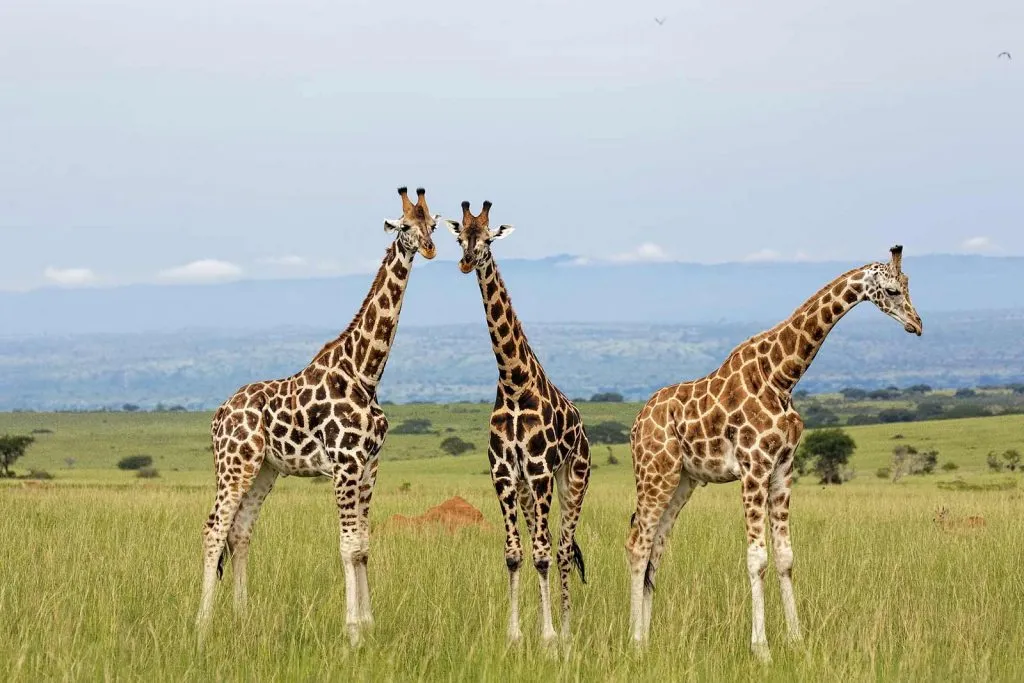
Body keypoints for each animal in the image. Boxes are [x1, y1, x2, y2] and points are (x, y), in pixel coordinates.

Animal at [195, 187, 438, 646]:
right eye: (403, 227)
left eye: (432, 224)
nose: (430, 248)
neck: (365, 372)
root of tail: (218, 415)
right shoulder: (345, 464)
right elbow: (348, 546)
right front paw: (353, 632)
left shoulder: (370, 465)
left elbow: (363, 546)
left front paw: (369, 625)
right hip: (233, 465)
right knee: (214, 529)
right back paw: (201, 623)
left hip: (265, 469)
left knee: (240, 531)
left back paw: (242, 617)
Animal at [444, 200, 591, 645]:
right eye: (460, 236)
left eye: (488, 239)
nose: (466, 261)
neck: (513, 383)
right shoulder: (504, 473)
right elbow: (513, 554)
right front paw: (514, 635)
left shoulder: (541, 471)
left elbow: (542, 555)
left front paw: (549, 636)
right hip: (528, 490)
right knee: (544, 544)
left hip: (573, 479)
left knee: (562, 548)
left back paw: (566, 628)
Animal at [626, 245, 923, 661]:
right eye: (893, 290)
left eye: (909, 286)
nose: (917, 324)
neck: (782, 376)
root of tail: (637, 423)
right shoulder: (754, 467)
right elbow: (757, 559)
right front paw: (762, 649)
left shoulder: (783, 468)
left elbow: (785, 558)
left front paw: (797, 641)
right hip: (656, 472)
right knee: (637, 545)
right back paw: (635, 643)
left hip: (683, 481)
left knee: (655, 548)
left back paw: (648, 640)